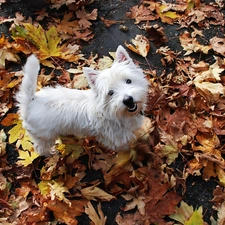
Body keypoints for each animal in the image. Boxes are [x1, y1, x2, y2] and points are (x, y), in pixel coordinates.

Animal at [16, 44, 149, 156]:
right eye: (110, 93)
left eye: (128, 81)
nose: (128, 100)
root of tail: (30, 103)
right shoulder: (117, 139)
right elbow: (125, 147)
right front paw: (132, 151)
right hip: (44, 136)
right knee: (40, 148)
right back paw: (51, 153)